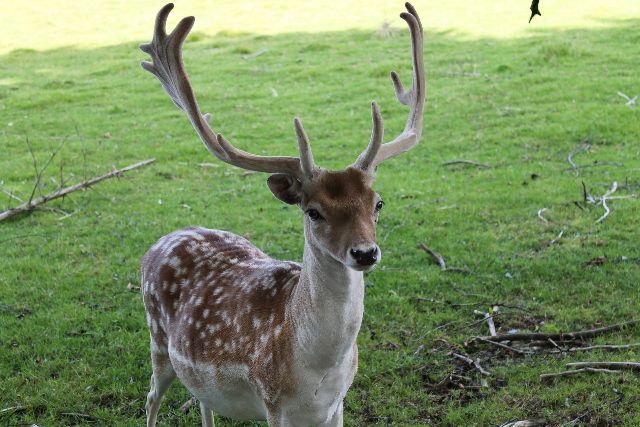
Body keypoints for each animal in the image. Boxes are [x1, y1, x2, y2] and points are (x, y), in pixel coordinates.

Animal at [141, 2, 428, 424]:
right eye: (313, 211)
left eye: (378, 203)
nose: (364, 252)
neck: (318, 373)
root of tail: (160, 241)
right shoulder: (273, 402)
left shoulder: (337, 405)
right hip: (157, 340)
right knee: (151, 398)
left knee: (201, 399)